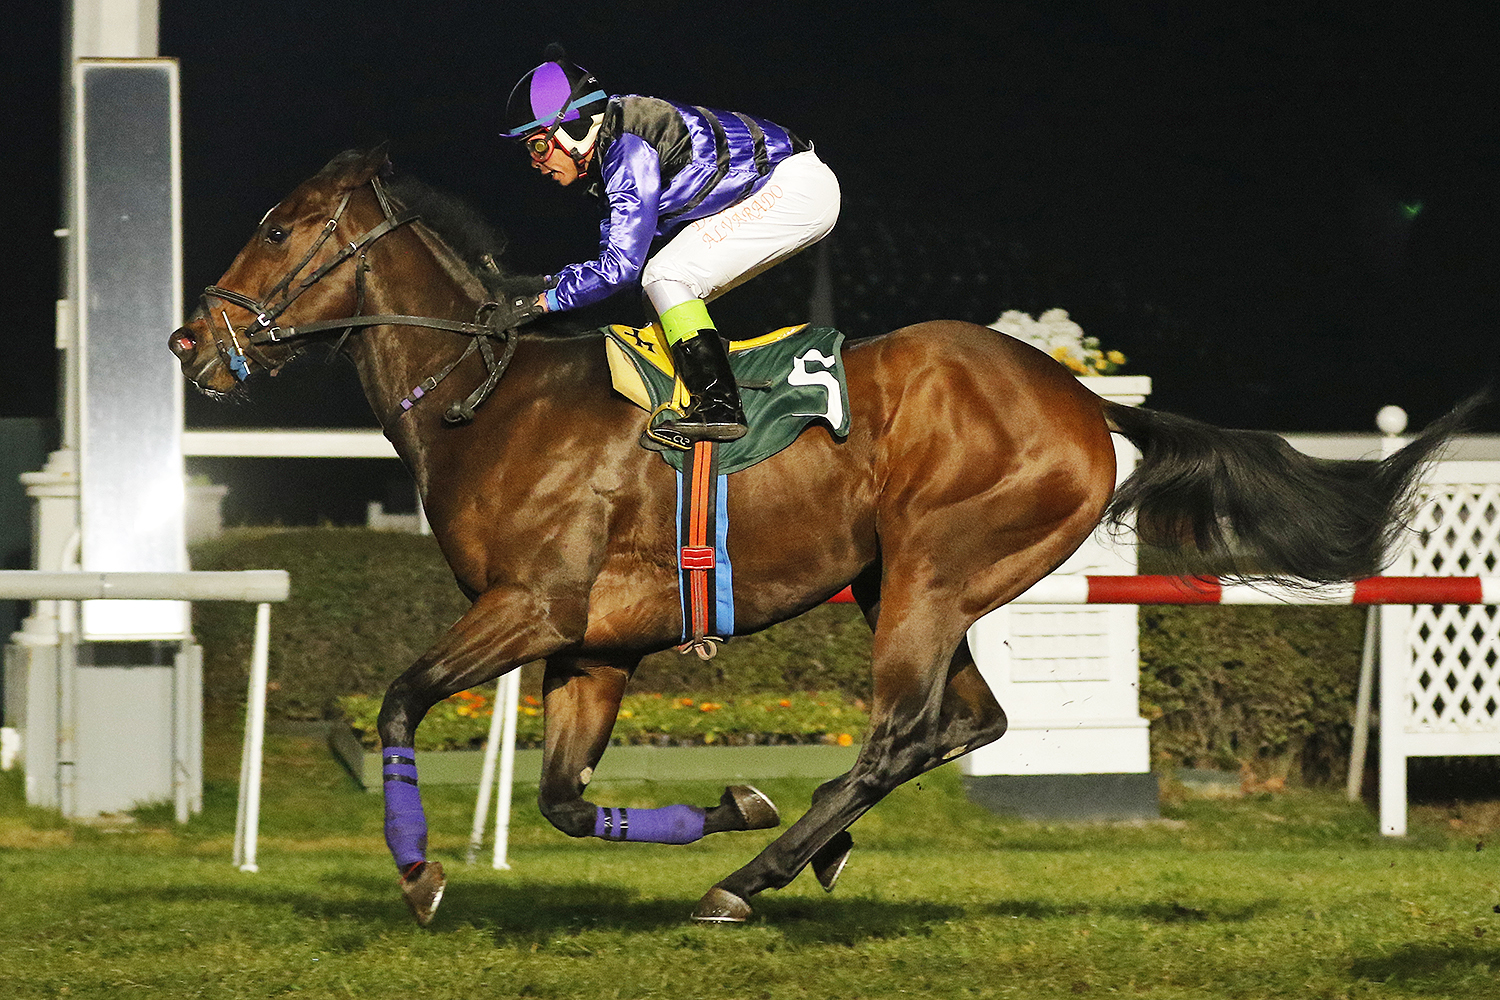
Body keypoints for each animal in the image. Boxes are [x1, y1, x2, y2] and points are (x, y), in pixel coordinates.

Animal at [170, 147, 1469, 926]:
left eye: (279, 231)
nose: (191, 343)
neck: (489, 395)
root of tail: (1077, 396)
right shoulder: (594, 646)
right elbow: (559, 798)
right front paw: (737, 803)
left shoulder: (529, 609)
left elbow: (397, 703)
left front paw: (421, 870)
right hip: (904, 582)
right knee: (965, 723)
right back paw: (797, 848)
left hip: (934, 572)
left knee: (901, 730)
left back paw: (752, 880)